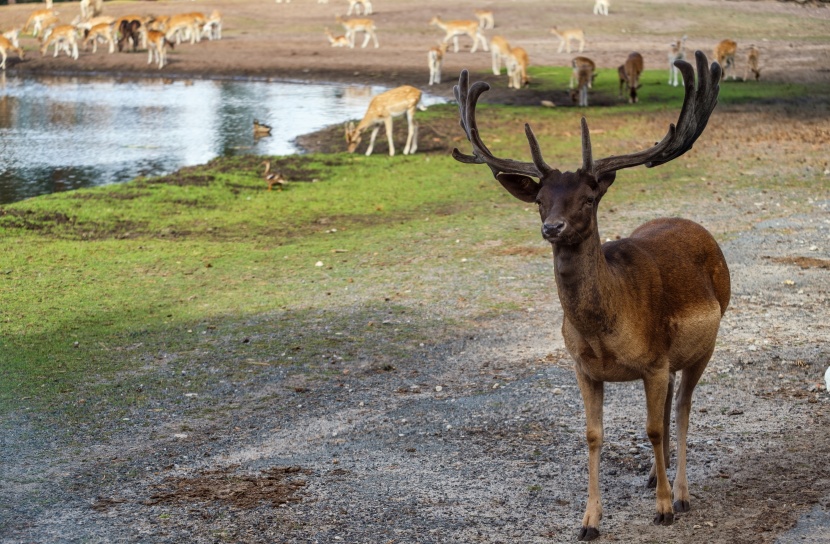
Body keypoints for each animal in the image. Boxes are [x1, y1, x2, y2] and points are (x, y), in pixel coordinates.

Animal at [452, 49, 732, 540]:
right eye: (540, 200)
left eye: (587, 198)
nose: (552, 227)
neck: (604, 332)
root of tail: (697, 228)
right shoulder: (584, 367)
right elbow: (593, 435)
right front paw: (589, 521)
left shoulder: (653, 361)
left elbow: (652, 428)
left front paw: (663, 508)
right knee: (671, 405)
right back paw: (653, 476)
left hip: (707, 344)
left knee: (681, 407)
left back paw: (679, 493)